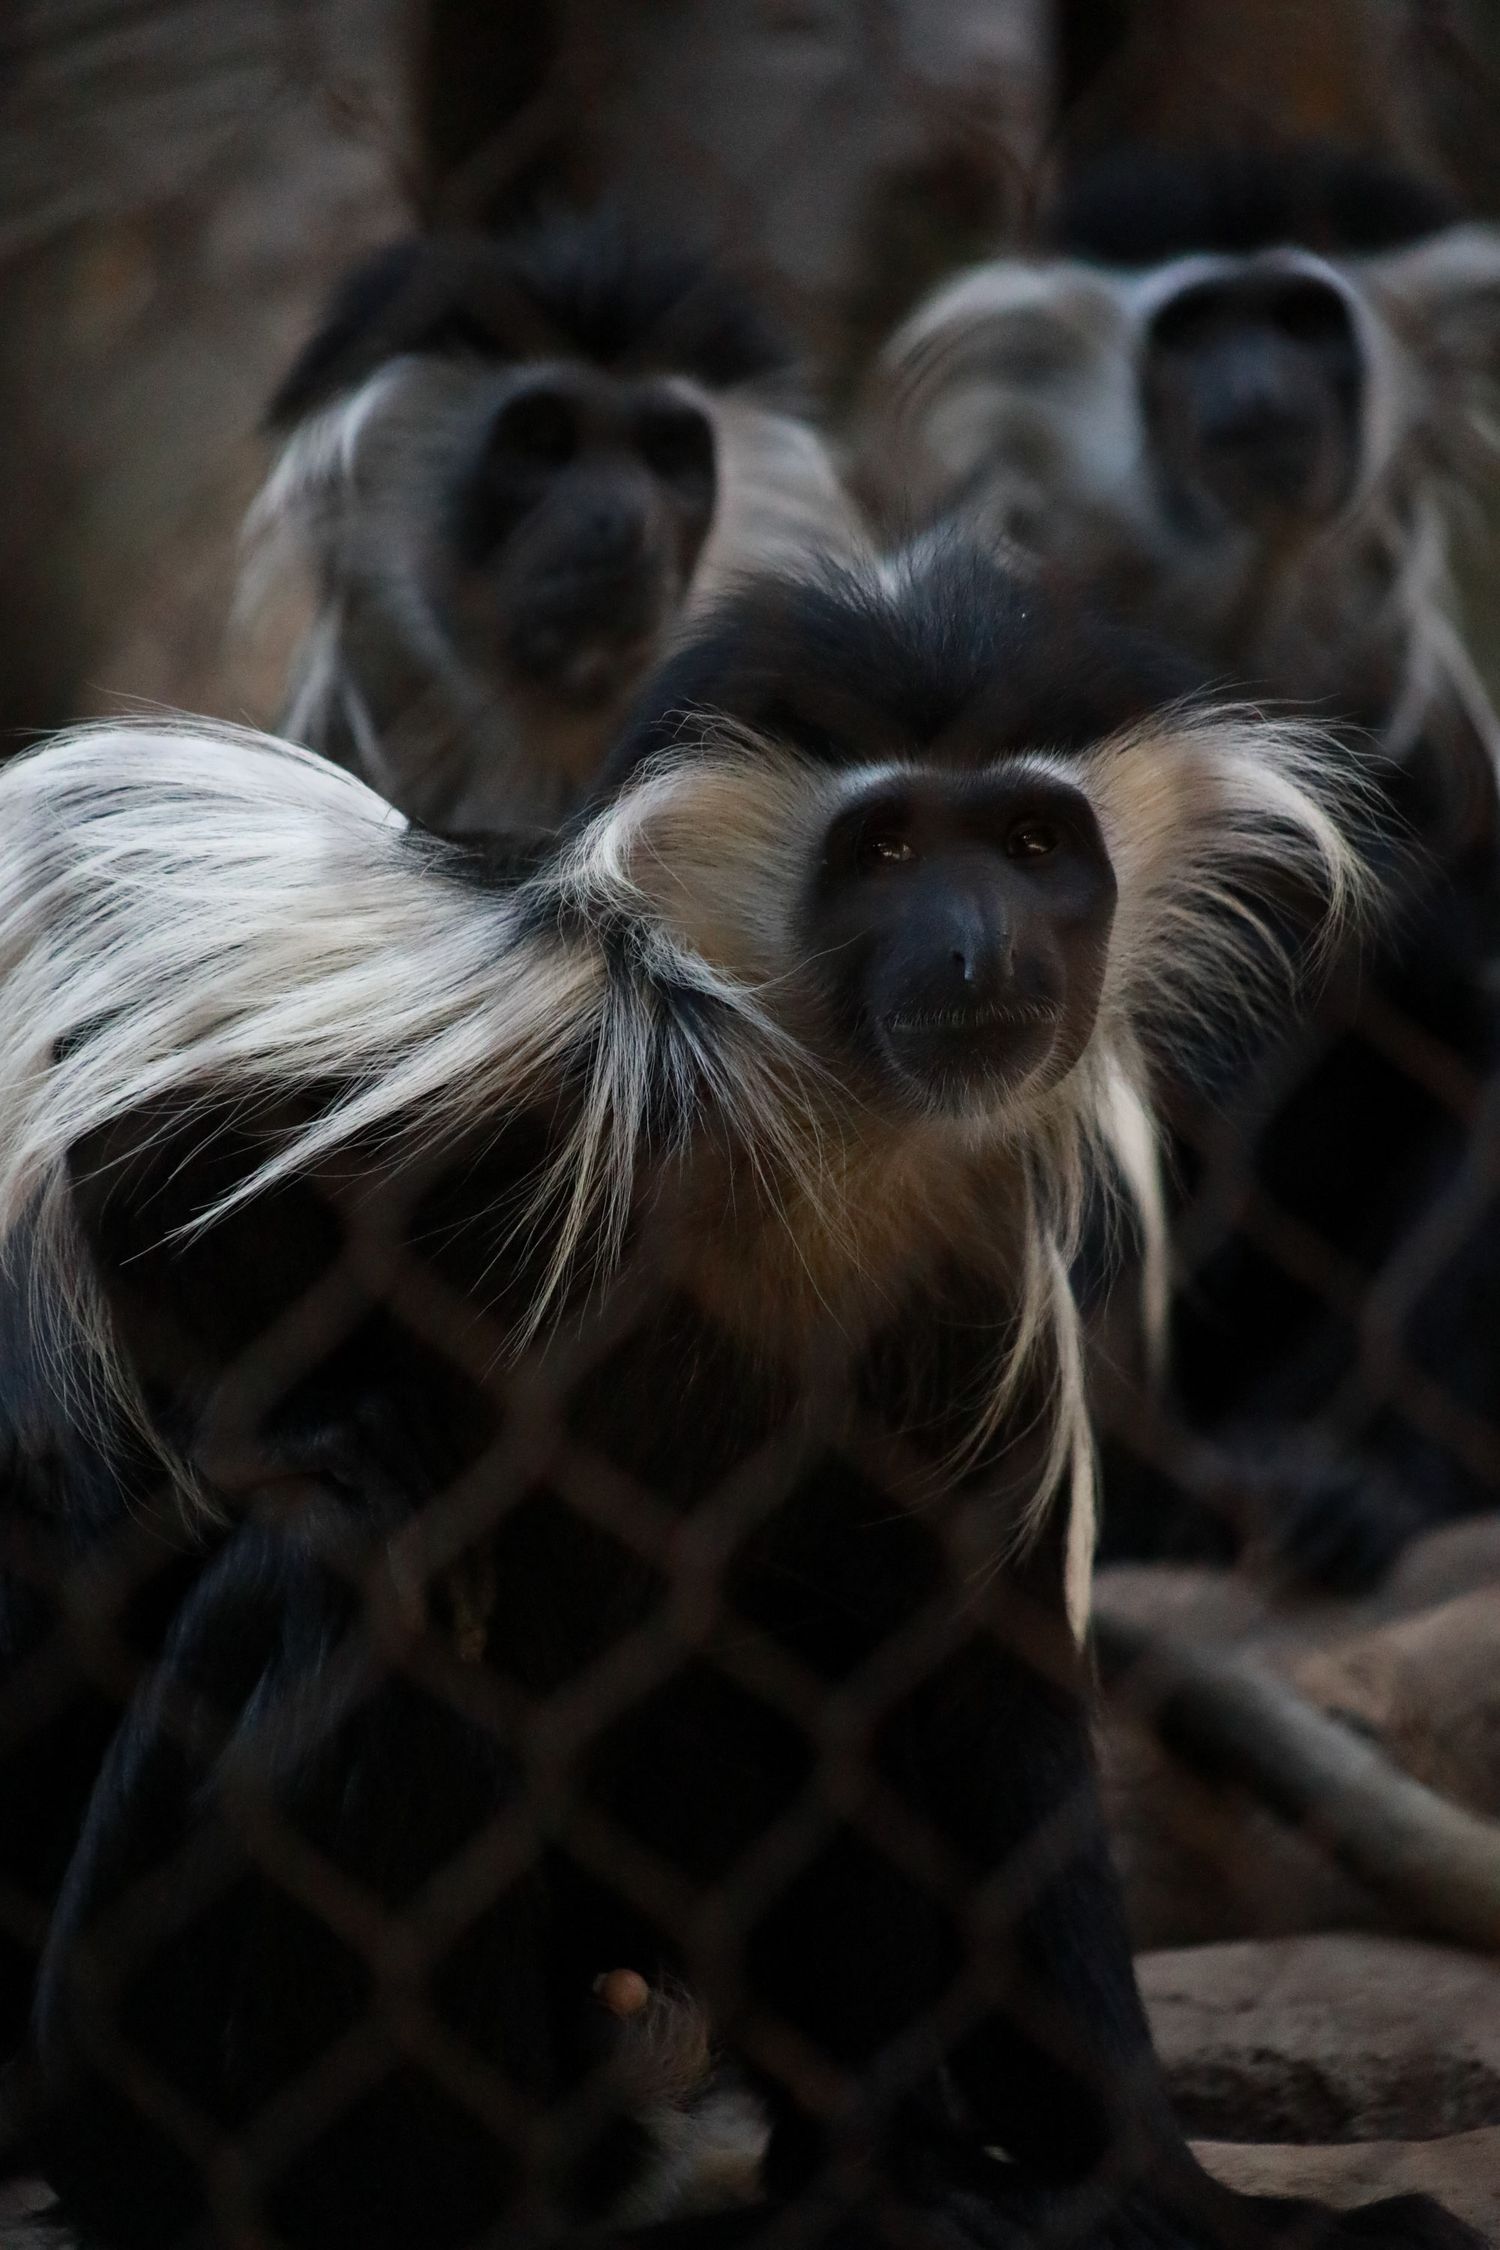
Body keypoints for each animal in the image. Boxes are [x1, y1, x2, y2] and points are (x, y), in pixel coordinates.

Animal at [0, 542, 1477, 2250]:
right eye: (886, 847)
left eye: (1035, 841)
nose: (983, 949)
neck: (831, 1128)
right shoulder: (557, 1036)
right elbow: (143, 1159)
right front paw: (332, 1430)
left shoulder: (967, 1272)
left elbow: (980, 1690)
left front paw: (1165, 2189)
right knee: (342, 1575)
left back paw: (883, 2171)